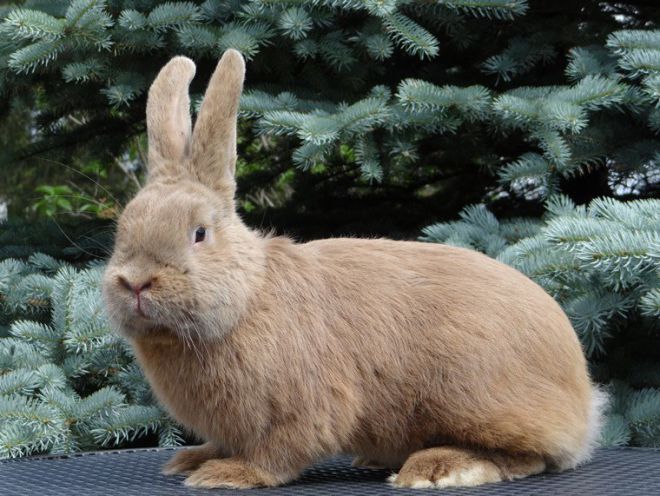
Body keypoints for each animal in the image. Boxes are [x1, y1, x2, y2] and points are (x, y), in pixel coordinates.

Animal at [100, 48, 604, 490]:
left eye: (199, 233)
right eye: (123, 228)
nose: (136, 282)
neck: (248, 297)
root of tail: (581, 393)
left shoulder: (305, 405)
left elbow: (278, 453)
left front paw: (227, 474)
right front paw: (193, 460)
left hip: (474, 393)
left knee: (529, 456)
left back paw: (439, 468)